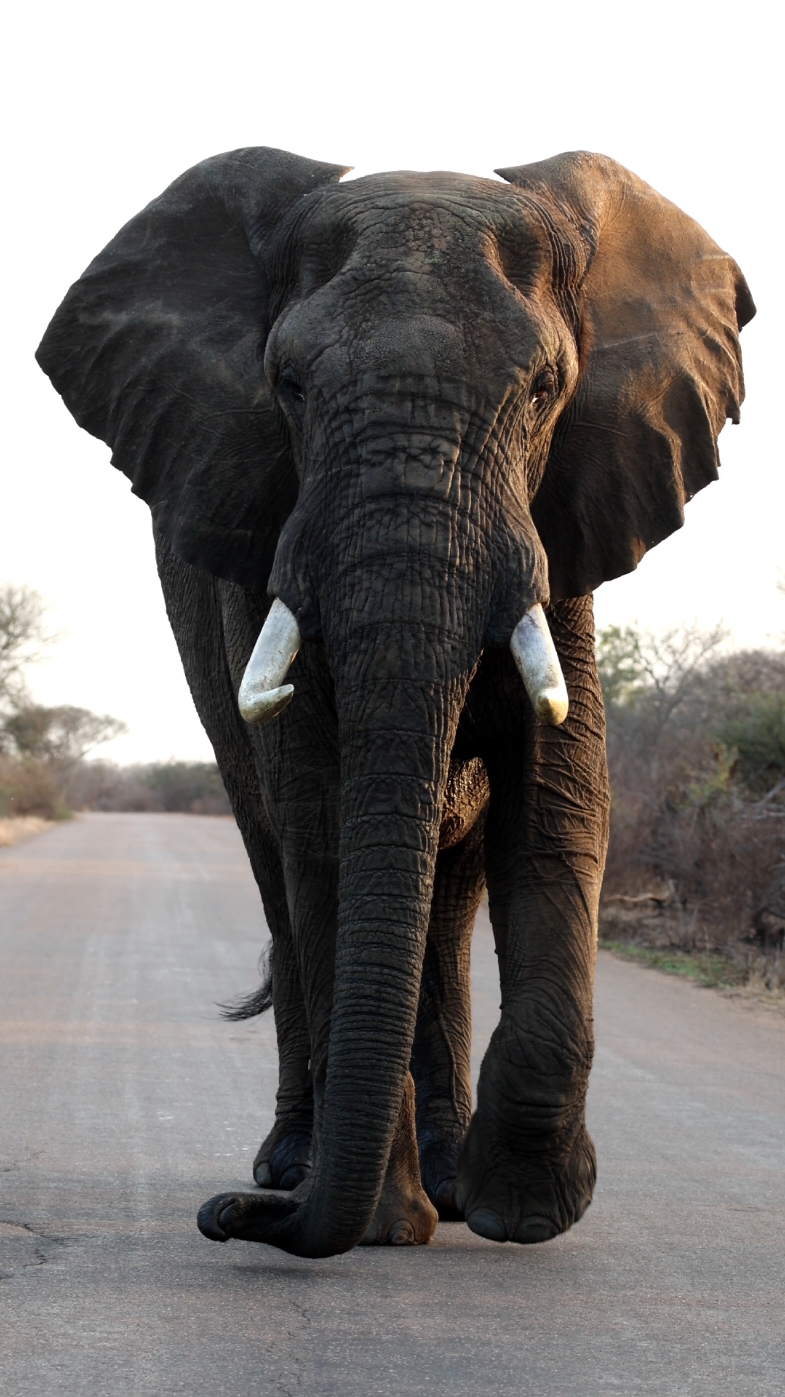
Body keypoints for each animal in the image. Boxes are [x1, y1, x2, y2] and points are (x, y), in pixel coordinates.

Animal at [38, 147, 754, 1262]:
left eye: (545, 388)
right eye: (287, 385)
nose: (222, 1221)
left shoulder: (566, 518)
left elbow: (558, 803)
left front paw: (519, 1213)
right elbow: (327, 821)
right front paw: (377, 1222)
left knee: (445, 895)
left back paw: (442, 1181)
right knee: (278, 863)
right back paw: (298, 1166)